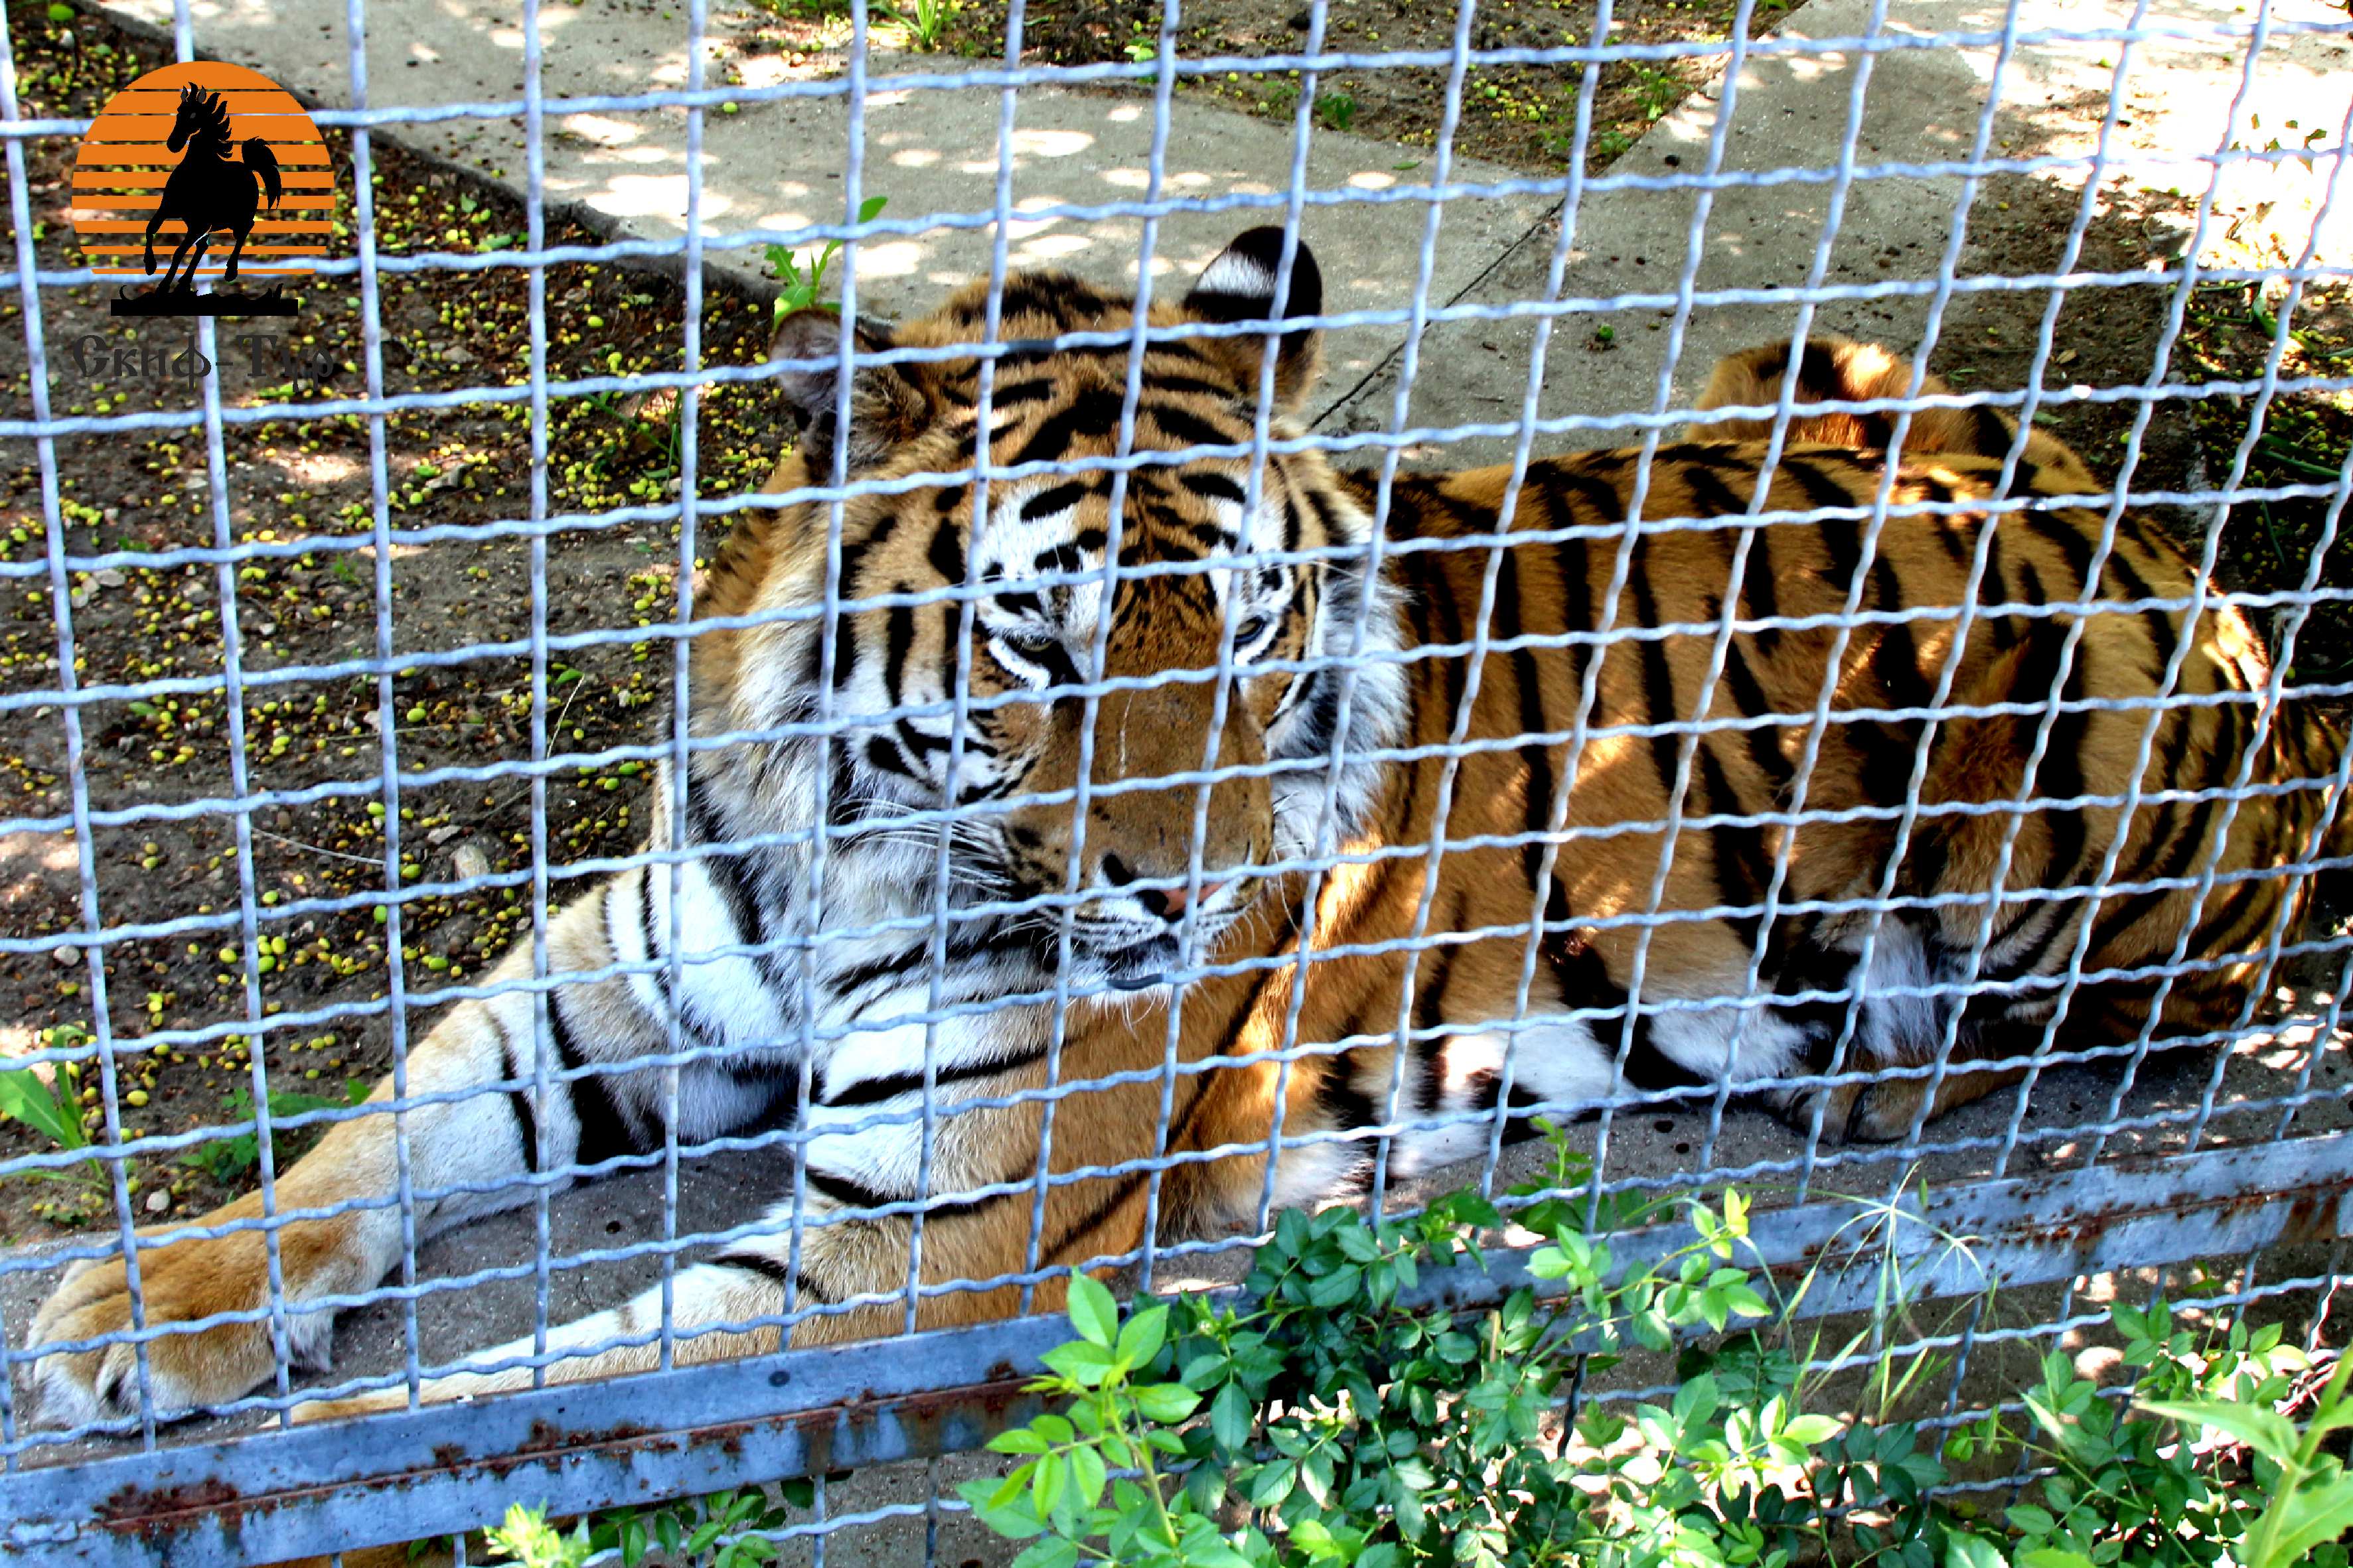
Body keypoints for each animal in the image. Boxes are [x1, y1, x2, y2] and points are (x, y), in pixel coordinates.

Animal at [23, 226, 2353, 1429]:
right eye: (1038, 648)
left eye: (1245, 628)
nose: (1199, 882)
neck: (856, 840)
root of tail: (2196, 559)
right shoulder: (613, 995)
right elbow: (381, 1129)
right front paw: (144, 1302)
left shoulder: (908, 1241)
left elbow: (459, 1414)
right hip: (1817, 363)